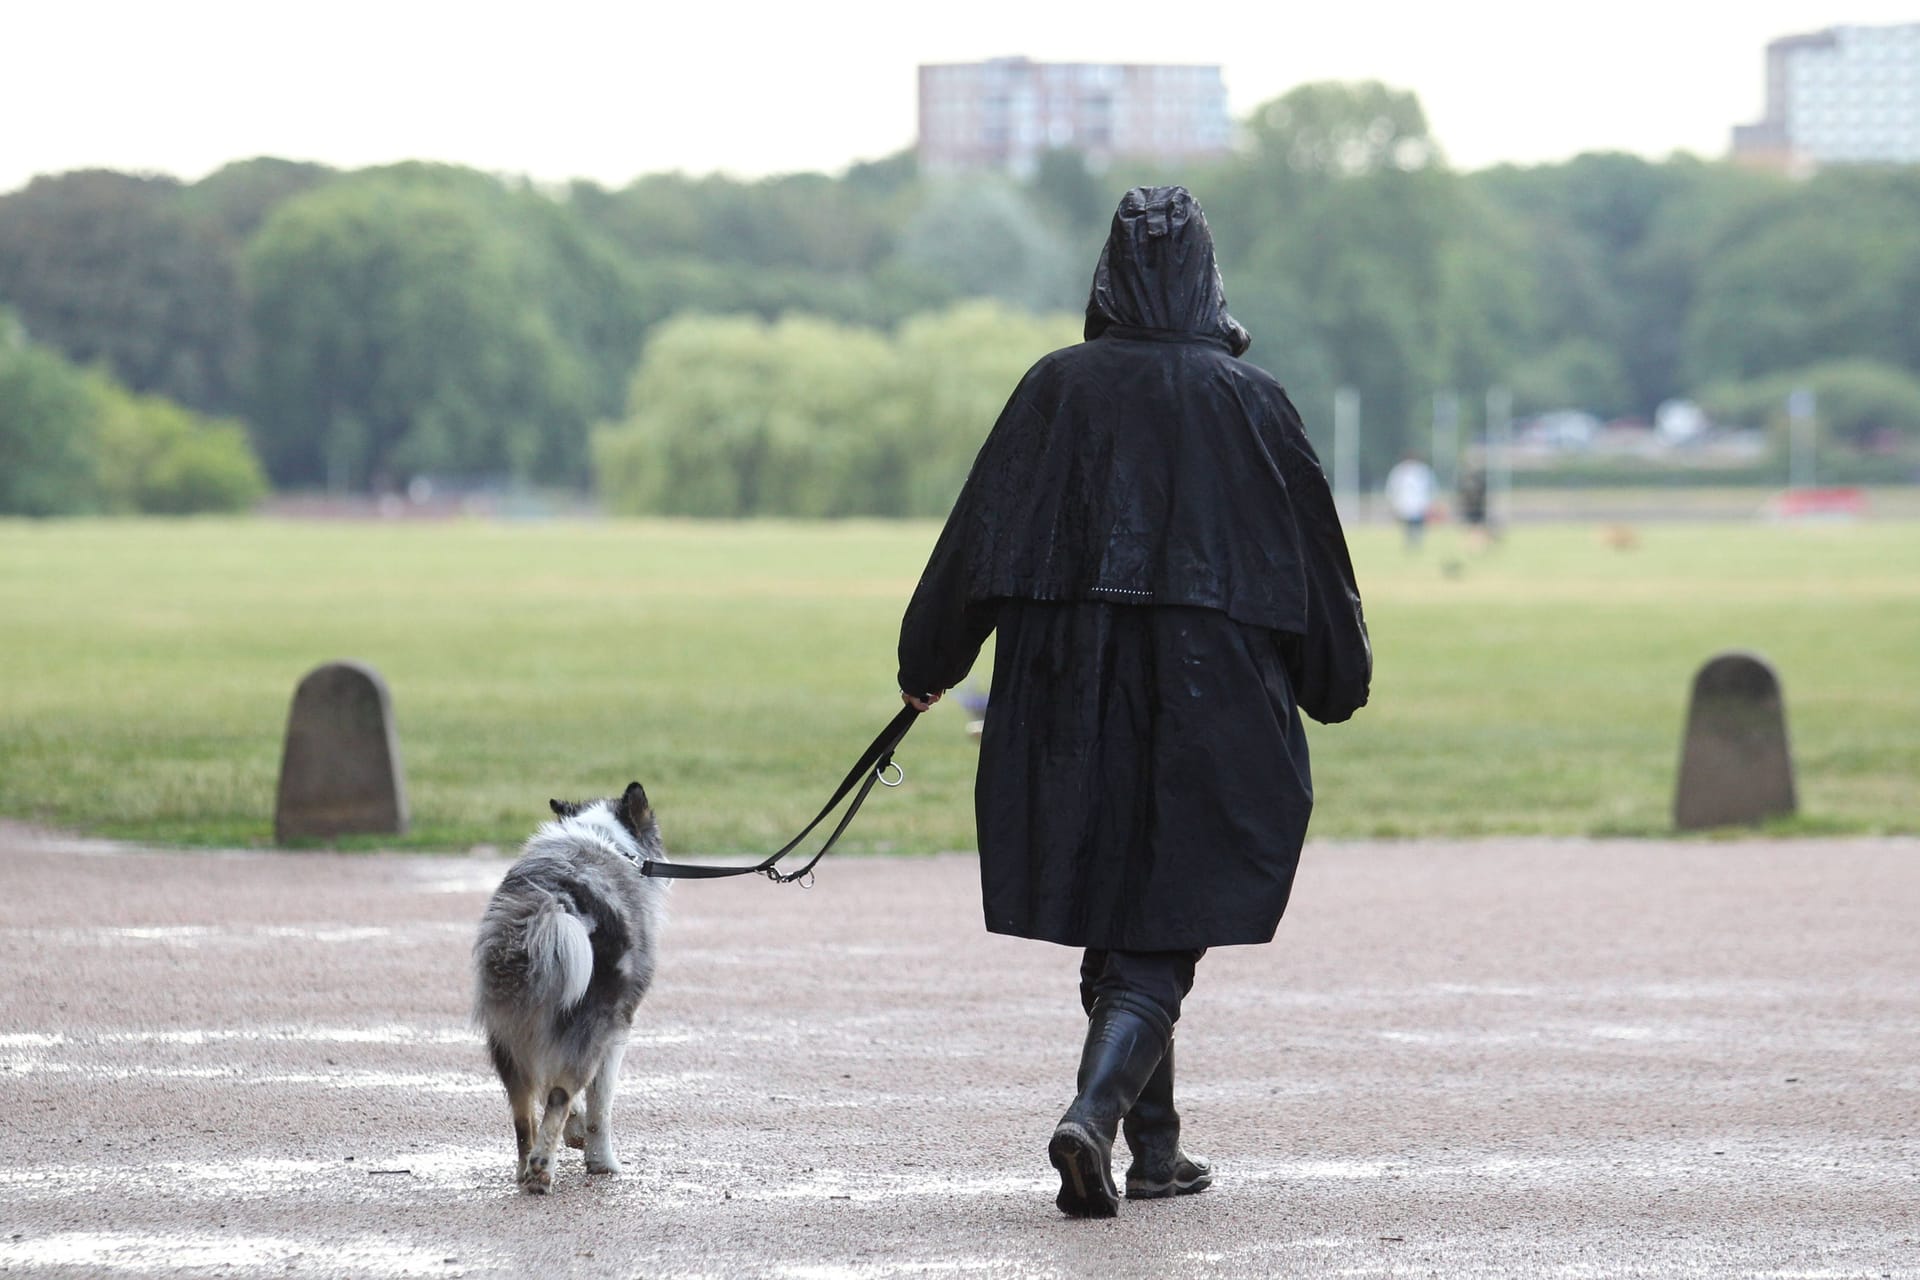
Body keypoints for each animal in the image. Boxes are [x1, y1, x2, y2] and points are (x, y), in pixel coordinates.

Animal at [472, 786, 668, 1197]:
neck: (610, 842)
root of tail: (551, 903)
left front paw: (575, 1134)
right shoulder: (616, 1031)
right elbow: (600, 1107)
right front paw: (601, 1162)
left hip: (508, 1033)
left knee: (522, 1111)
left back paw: (525, 1168)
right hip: (589, 1024)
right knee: (560, 1095)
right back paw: (541, 1171)